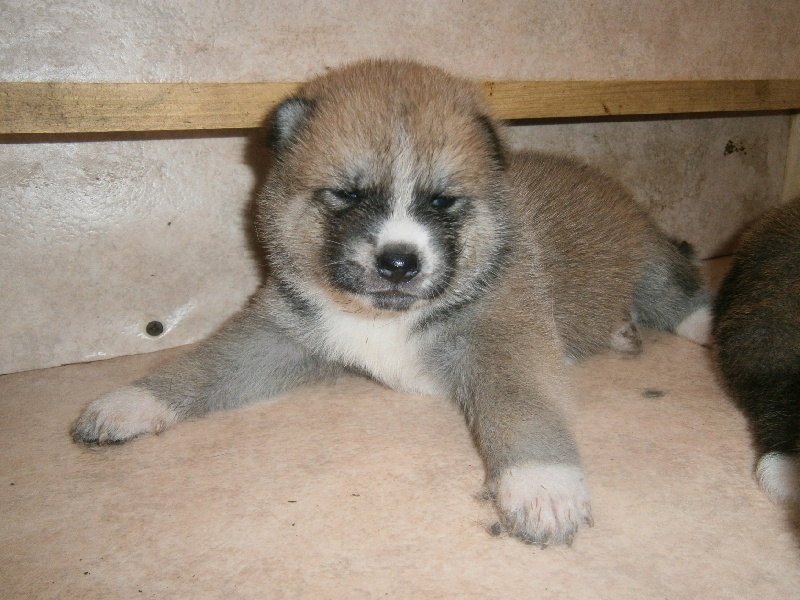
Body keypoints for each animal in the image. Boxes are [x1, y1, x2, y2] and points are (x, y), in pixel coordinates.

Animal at [72, 59, 711, 546]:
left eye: (442, 200)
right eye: (346, 194)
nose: (399, 261)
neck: (384, 317)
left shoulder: (504, 336)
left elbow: (524, 408)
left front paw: (543, 489)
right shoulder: (283, 332)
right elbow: (206, 366)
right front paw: (130, 403)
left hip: (648, 260)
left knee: (678, 290)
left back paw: (699, 327)